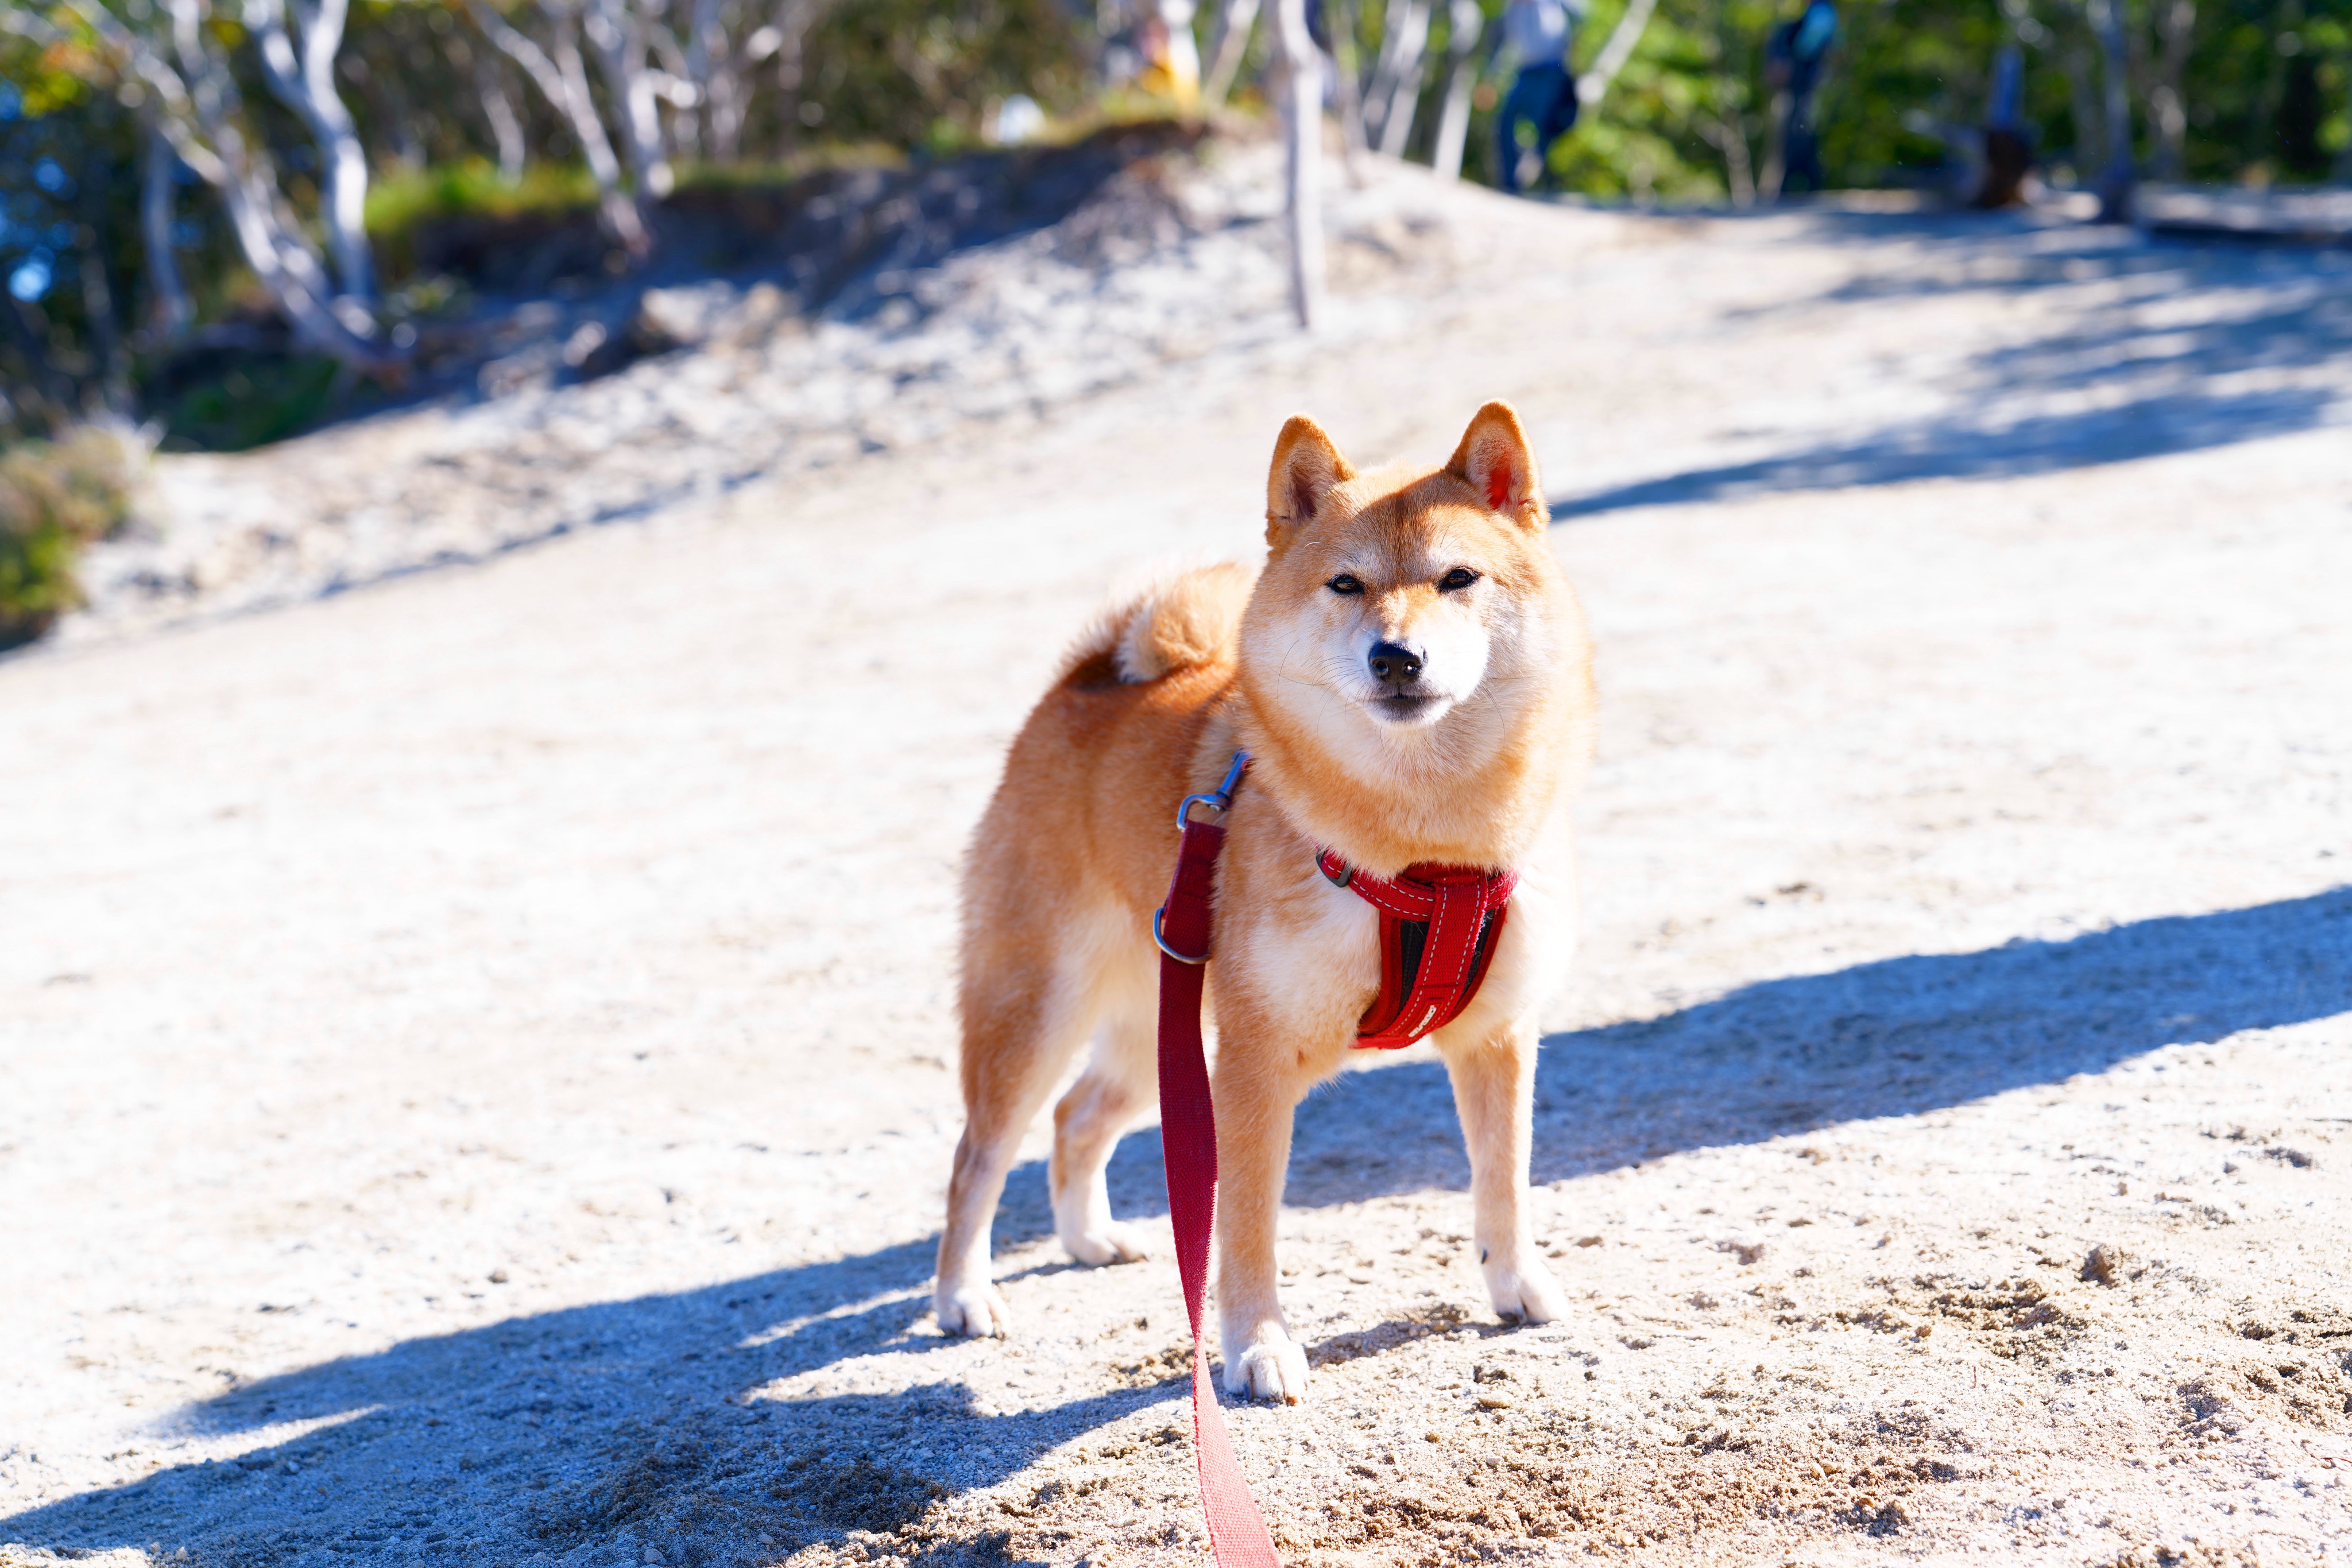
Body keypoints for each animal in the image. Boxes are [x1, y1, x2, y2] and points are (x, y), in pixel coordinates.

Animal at [936, 400, 1599, 1401]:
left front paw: (1517, 1283)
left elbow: (1503, 1177)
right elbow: (1243, 1225)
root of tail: (1079, 684)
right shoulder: (1252, 1061)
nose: (1396, 656)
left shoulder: (1497, 1035)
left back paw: (1088, 1236)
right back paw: (962, 1295)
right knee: (977, 1157)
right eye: (1346, 584)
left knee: (1077, 1116)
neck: (1423, 843)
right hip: (1037, 1015)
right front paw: (1257, 1345)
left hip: (1160, 1031)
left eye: (1458, 577)